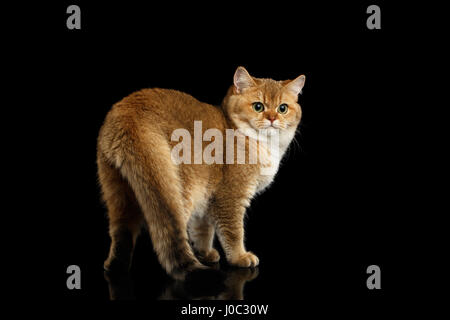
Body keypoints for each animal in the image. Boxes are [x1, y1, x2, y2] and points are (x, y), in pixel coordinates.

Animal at [96, 67, 304, 278]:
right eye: (258, 106)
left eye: (283, 108)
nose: (272, 118)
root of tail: (130, 114)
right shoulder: (230, 196)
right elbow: (233, 232)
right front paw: (239, 257)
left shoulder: (206, 196)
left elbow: (202, 229)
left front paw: (205, 253)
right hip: (181, 189)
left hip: (118, 189)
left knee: (121, 230)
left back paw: (114, 266)